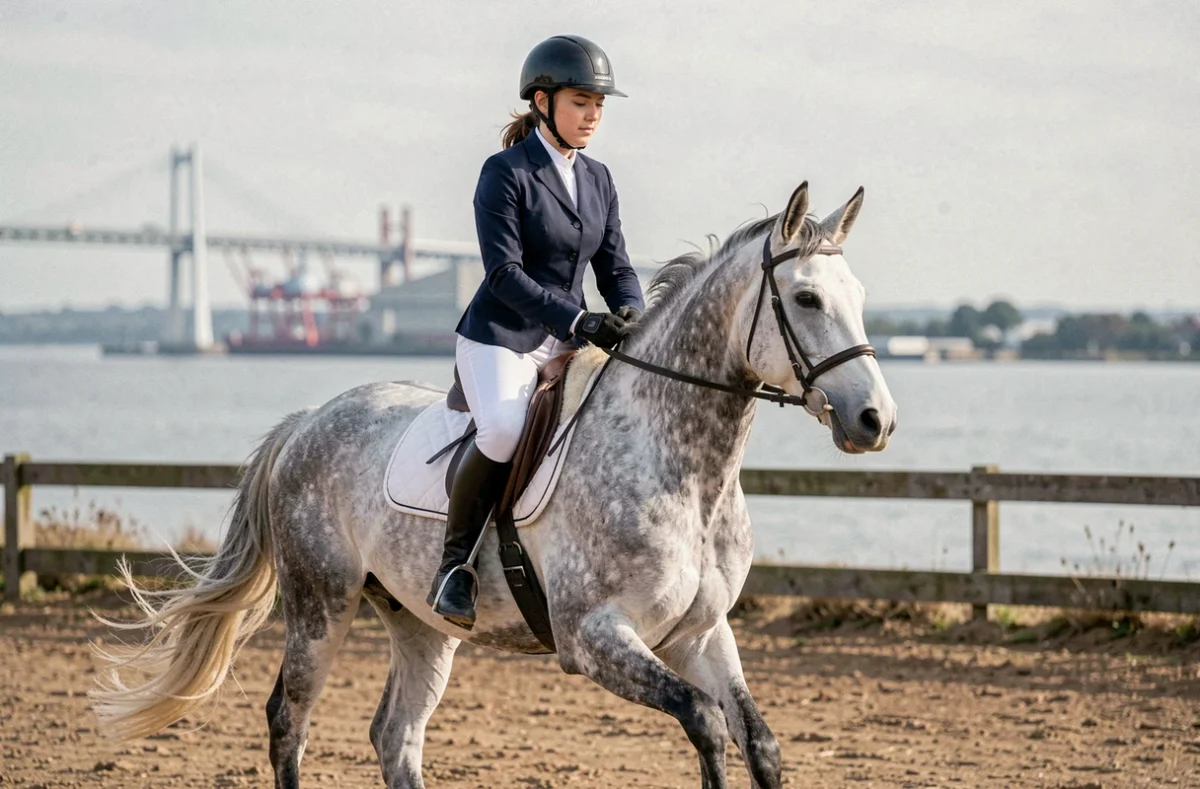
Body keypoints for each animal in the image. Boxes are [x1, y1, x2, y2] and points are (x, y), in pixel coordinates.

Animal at [90, 181, 897, 789]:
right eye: (805, 300)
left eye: (857, 294)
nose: (875, 419)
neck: (687, 468)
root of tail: (309, 419)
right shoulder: (593, 636)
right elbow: (704, 723)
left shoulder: (701, 630)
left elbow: (758, 741)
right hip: (320, 603)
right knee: (290, 721)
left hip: (418, 619)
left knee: (395, 736)